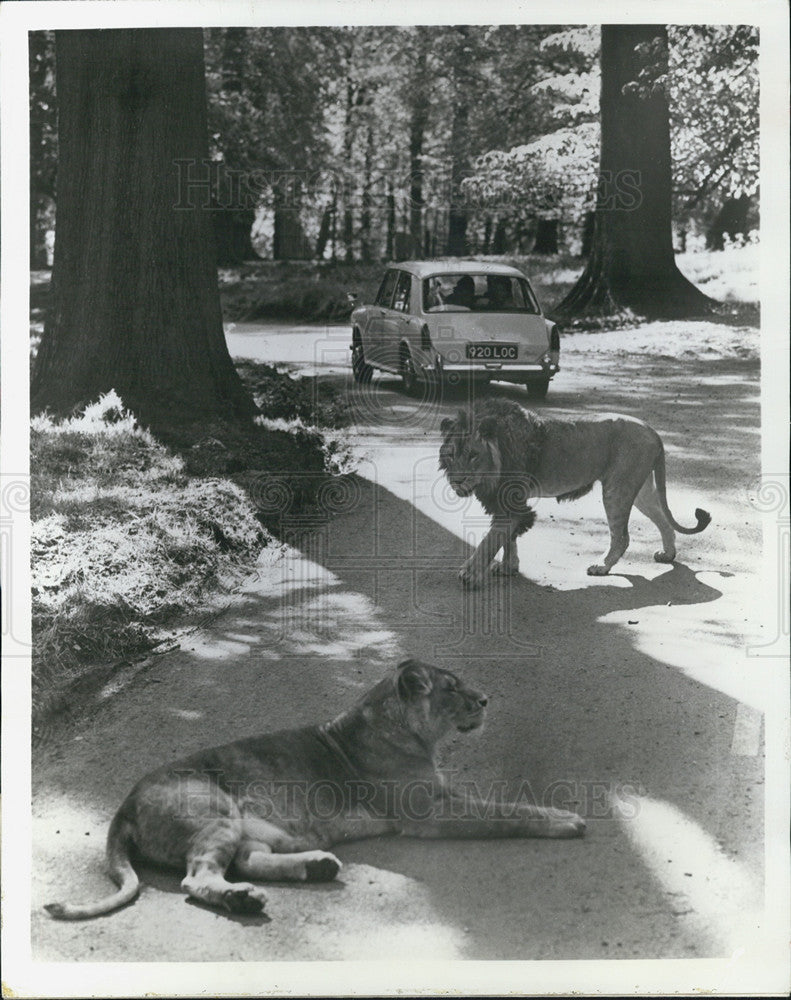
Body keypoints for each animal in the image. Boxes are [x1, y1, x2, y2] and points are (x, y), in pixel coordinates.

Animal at [46, 660, 584, 916]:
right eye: (451, 688)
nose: (486, 699)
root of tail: (124, 805)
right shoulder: (428, 812)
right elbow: (505, 810)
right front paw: (566, 820)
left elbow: (500, 802)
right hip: (215, 812)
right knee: (196, 878)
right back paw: (245, 900)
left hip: (252, 830)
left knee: (245, 861)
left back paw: (315, 867)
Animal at [440, 396, 712, 584]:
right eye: (451, 455)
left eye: (473, 455)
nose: (458, 481)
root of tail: (652, 430)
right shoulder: (505, 502)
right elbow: (508, 539)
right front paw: (508, 567)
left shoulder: (510, 503)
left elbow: (491, 540)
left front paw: (470, 573)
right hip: (640, 489)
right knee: (663, 520)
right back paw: (668, 554)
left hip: (617, 488)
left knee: (622, 536)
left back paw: (602, 566)